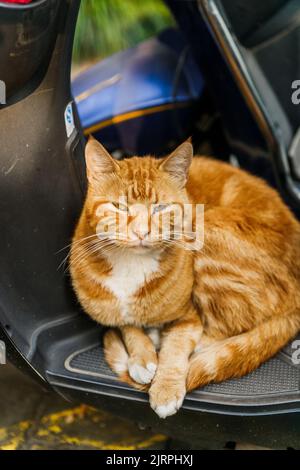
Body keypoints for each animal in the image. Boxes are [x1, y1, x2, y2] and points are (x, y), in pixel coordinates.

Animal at [70, 136, 300, 418]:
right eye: (119, 207)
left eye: (160, 208)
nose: (141, 232)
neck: (131, 263)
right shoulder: (110, 310)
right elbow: (126, 325)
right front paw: (142, 357)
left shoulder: (189, 317)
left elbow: (177, 347)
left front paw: (165, 388)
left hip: (208, 231)